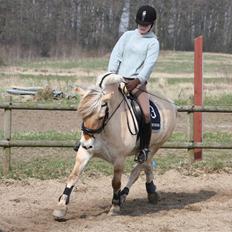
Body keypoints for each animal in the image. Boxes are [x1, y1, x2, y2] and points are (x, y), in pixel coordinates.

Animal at [52, 72, 176, 219]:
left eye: (100, 116)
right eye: (82, 114)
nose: (87, 144)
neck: (105, 129)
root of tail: (170, 102)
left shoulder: (119, 159)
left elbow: (116, 182)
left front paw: (115, 206)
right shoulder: (85, 152)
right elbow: (73, 176)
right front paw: (61, 207)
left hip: (153, 147)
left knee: (138, 169)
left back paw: (126, 196)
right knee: (147, 166)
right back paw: (150, 191)